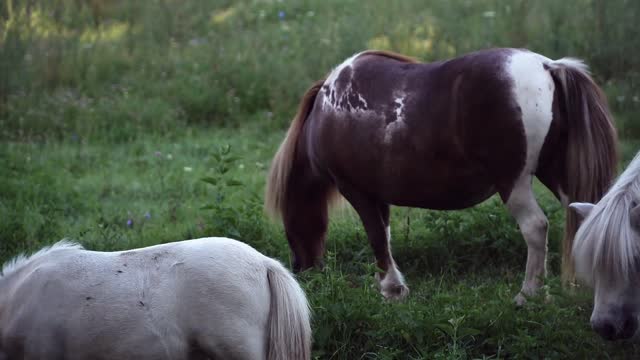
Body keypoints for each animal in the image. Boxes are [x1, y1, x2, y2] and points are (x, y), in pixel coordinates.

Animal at [264, 47, 616, 304]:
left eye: (289, 222)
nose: (302, 268)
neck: (328, 111)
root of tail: (547, 66)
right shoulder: (379, 196)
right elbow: (385, 236)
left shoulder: (357, 191)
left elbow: (376, 236)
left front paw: (391, 289)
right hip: (554, 174)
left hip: (514, 183)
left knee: (535, 227)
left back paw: (528, 295)